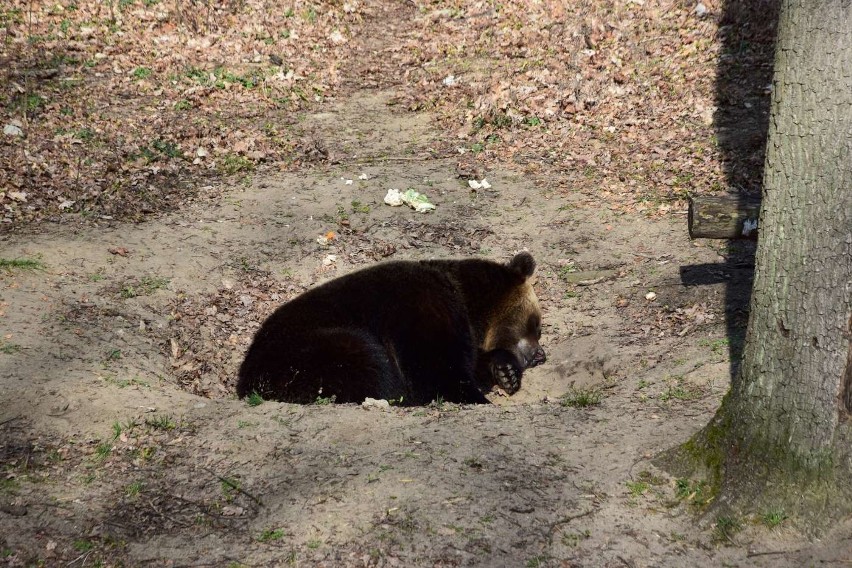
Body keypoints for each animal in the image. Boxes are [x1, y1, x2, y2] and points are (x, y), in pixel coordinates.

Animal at [236, 252, 548, 404]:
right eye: (536, 325)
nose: (539, 355)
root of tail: (243, 377)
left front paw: (506, 372)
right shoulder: (422, 308)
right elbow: (436, 372)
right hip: (303, 354)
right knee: (368, 363)